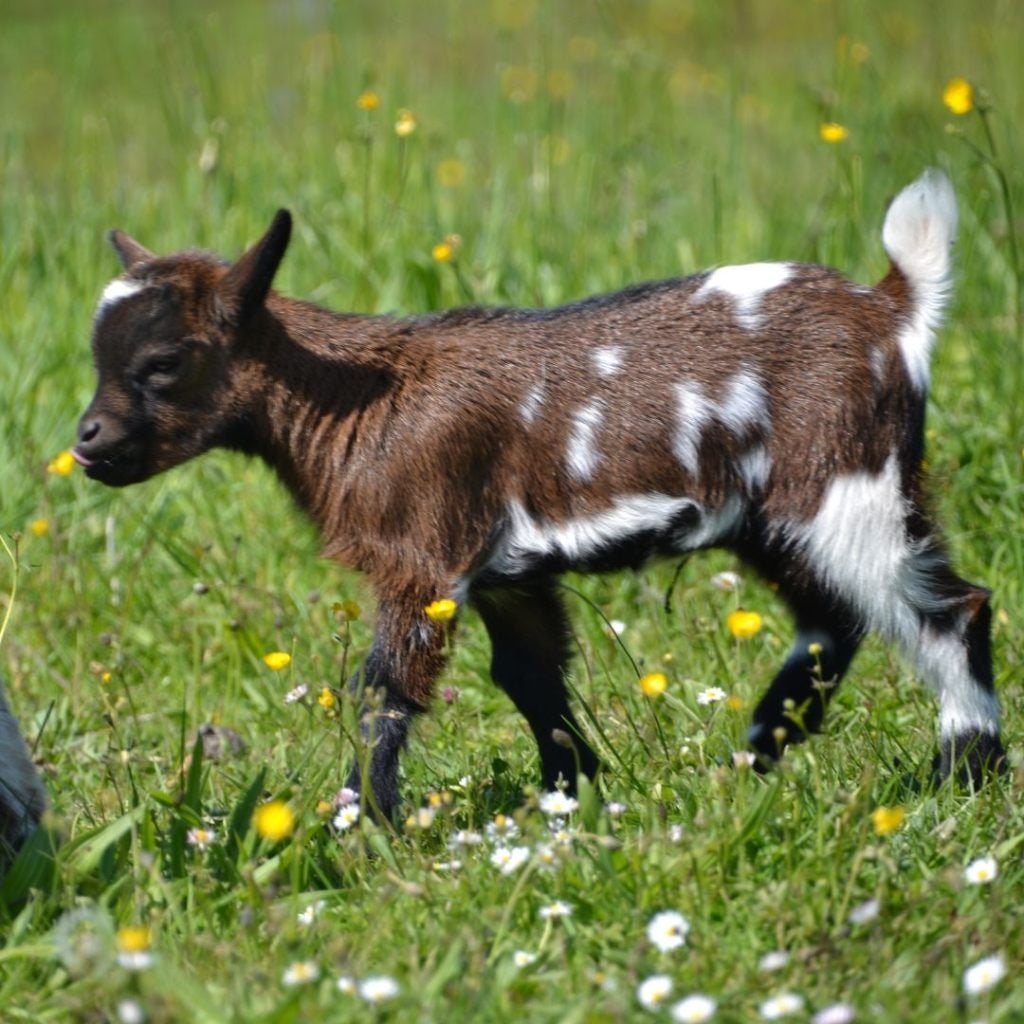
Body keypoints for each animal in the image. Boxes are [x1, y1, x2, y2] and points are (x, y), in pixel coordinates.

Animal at [73, 170, 1004, 819]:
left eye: (162, 362)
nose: (87, 442)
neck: (359, 402)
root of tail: (891, 309)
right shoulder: (504, 573)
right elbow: (530, 677)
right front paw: (574, 795)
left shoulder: (425, 558)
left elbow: (386, 690)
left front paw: (362, 822)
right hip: (776, 516)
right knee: (834, 617)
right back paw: (761, 748)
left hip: (847, 481)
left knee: (946, 610)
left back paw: (963, 772)